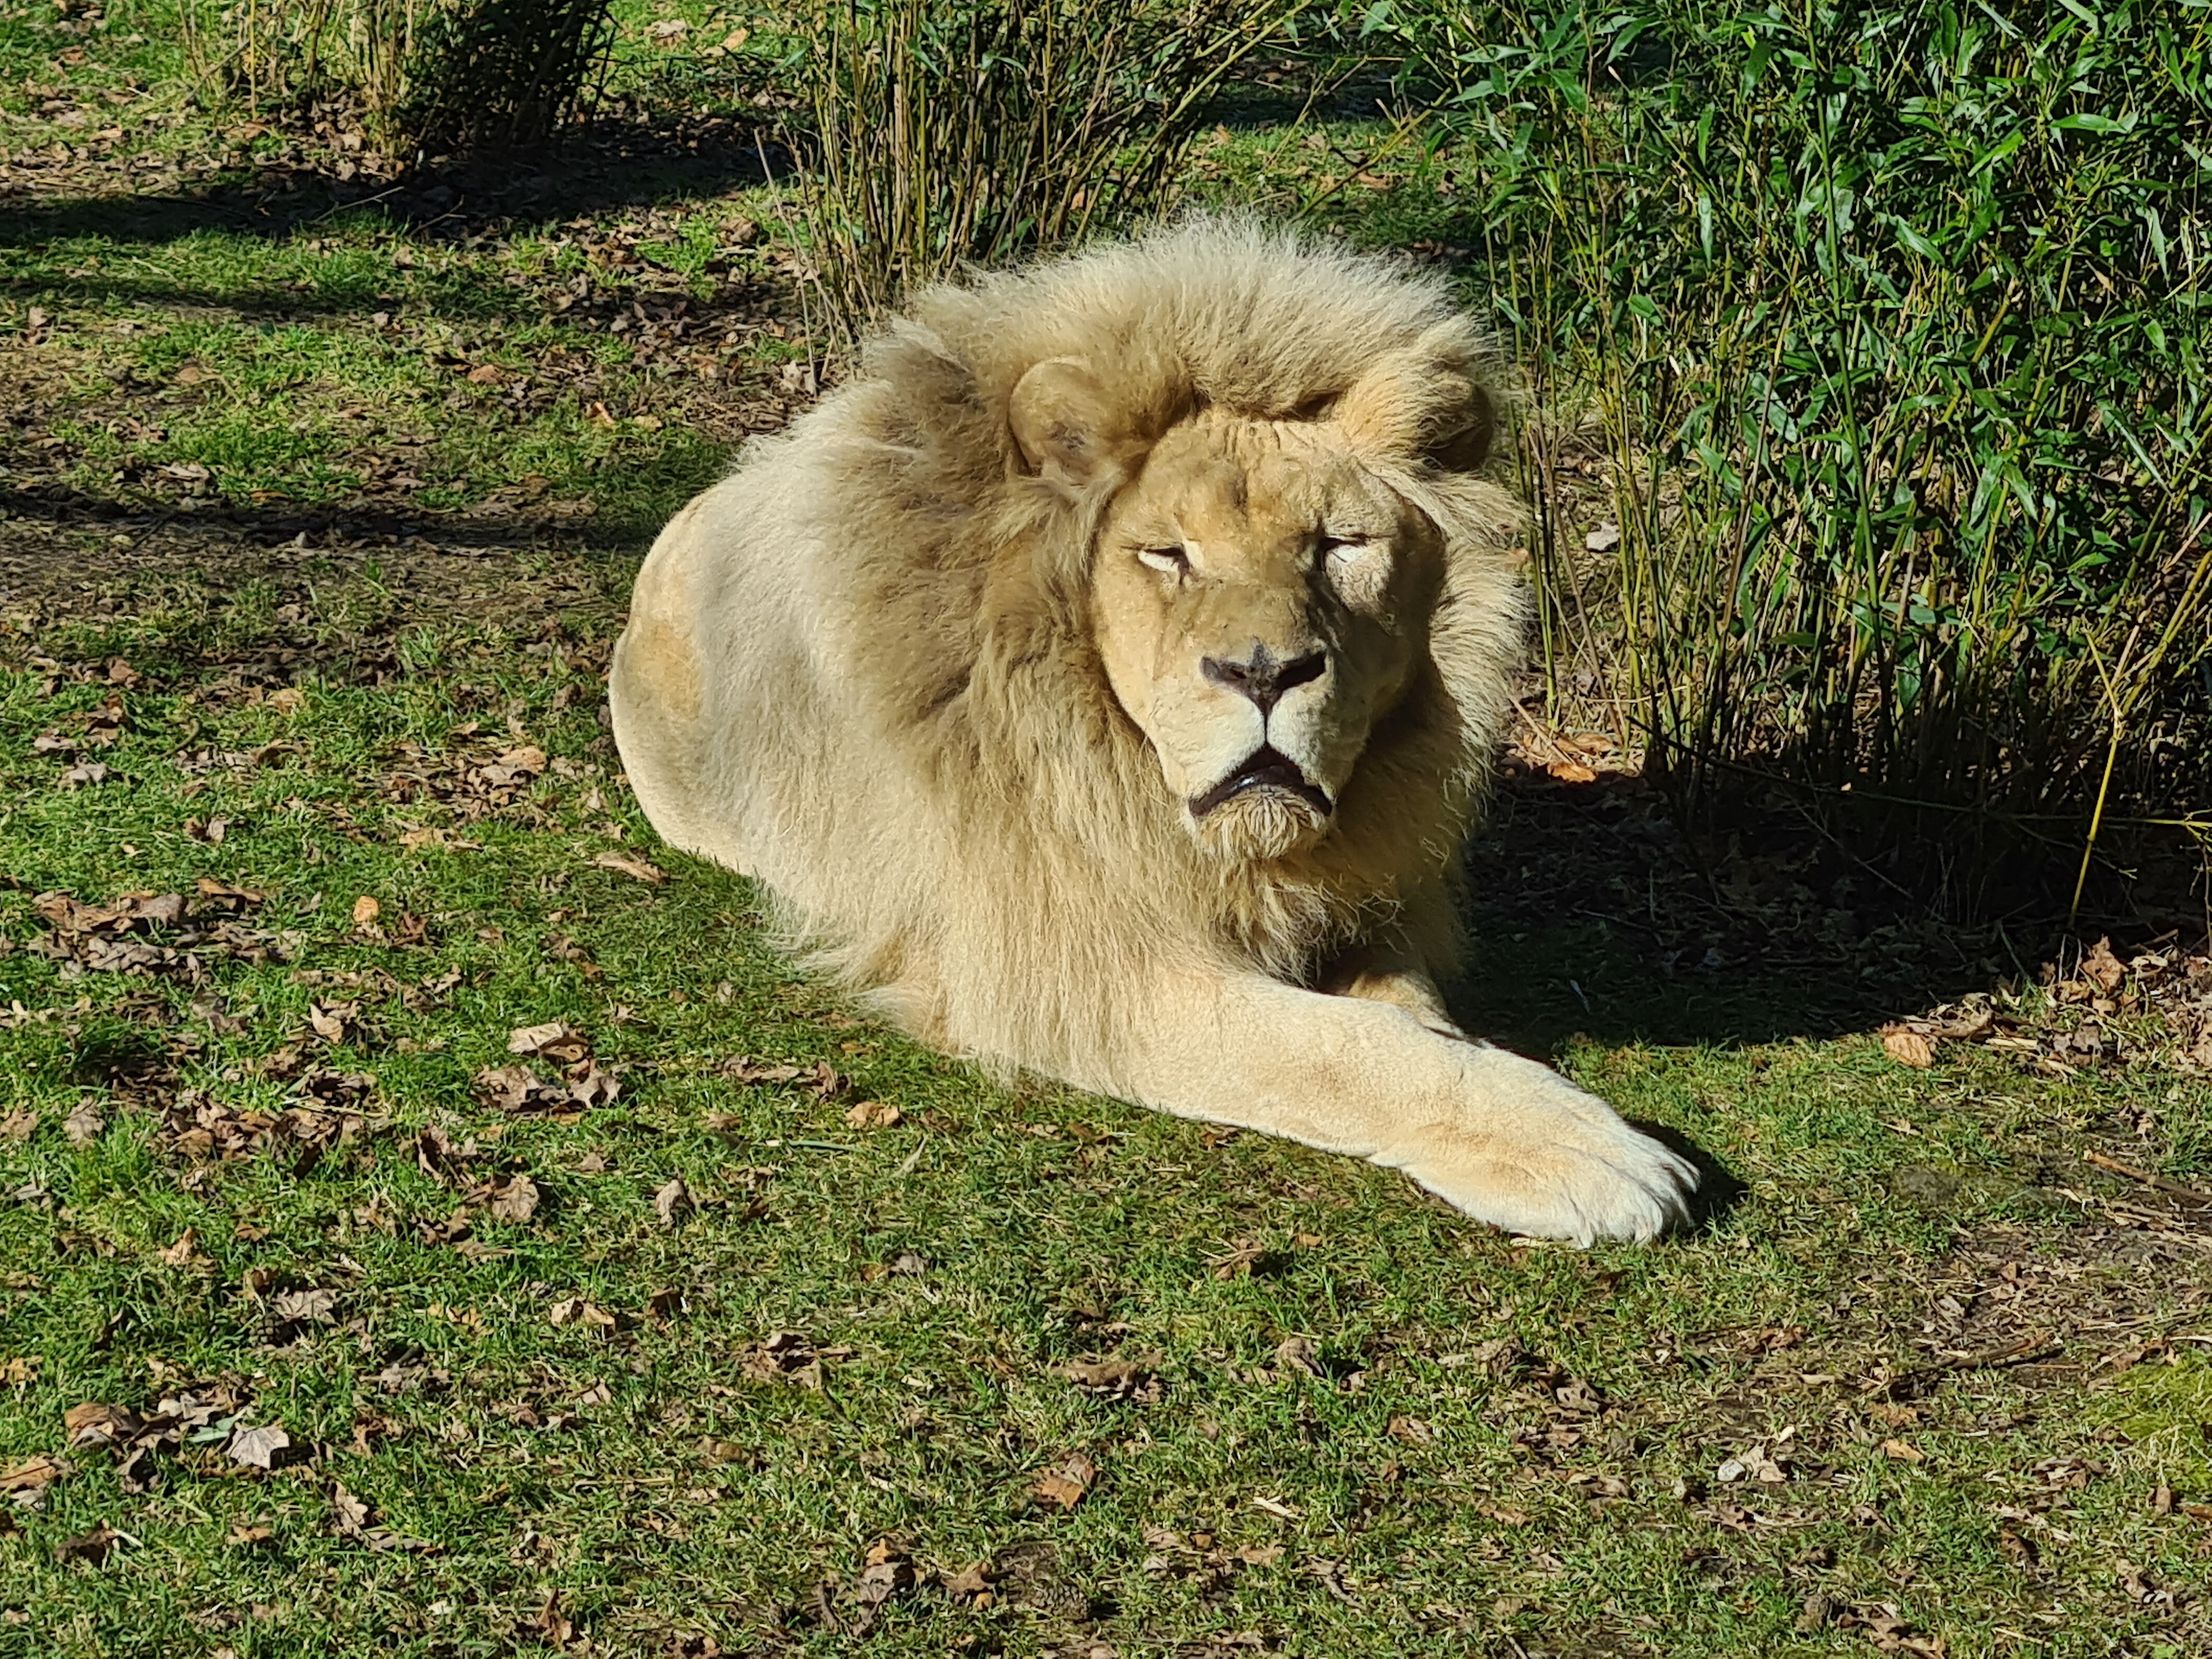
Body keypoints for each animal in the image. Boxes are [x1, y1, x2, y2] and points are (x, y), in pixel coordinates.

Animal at [610, 217, 1697, 1243]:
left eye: (1337, 546)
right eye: (1167, 554)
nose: (1263, 671)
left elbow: (1417, 1023)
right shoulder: (1074, 967)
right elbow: (1339, 1051)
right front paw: (1587, 1149)